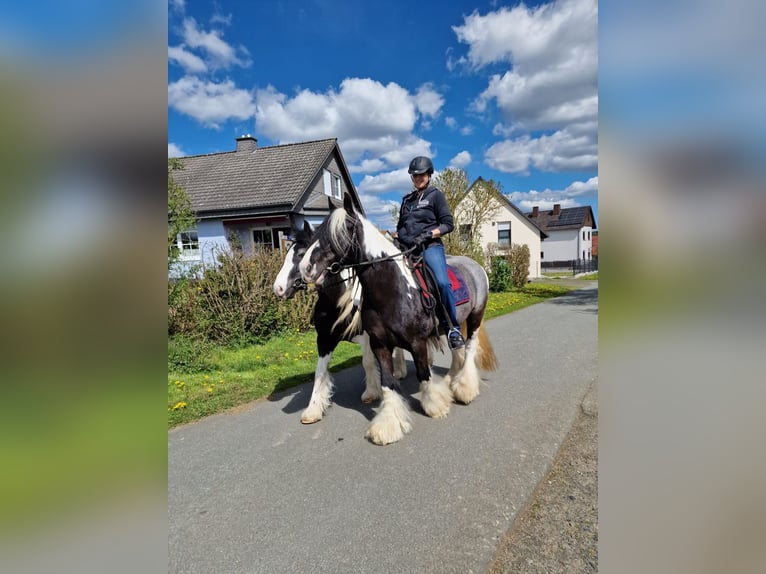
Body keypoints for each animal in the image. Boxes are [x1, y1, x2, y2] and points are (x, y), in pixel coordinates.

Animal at [300, 194, 498, 446]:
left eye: (338, 232)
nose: (305, 267)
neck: (391, 289)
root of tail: (476, 266)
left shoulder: (417, 343)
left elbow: (424, 375)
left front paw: (435, 406)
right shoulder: (380, 345)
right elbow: (387, 383)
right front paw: (388, 425)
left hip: (475, 317)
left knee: (470, 348)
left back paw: (464, 389)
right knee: (458, 350)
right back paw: (452, 381)